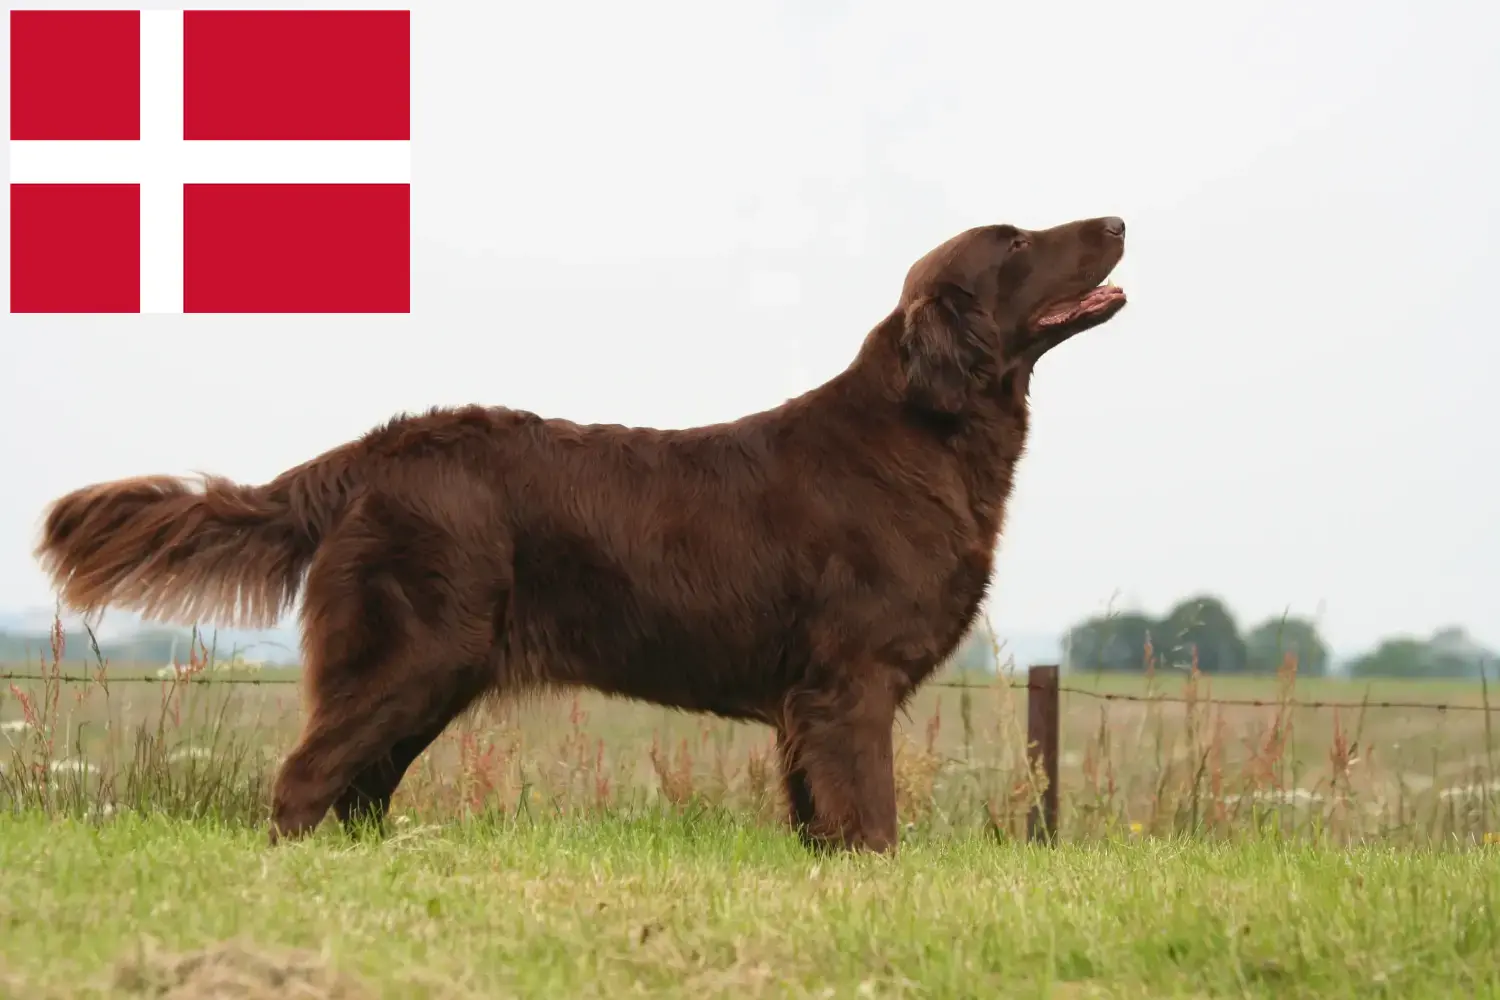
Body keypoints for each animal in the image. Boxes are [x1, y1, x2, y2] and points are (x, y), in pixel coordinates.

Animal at [32, 215, 1128, 851]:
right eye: (1017, 243)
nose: (1117, 217)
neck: (925, 432)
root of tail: (378, 451)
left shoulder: (805, 702)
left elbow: (820, 821)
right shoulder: (849, 684)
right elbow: (871, 818)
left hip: (432, 672)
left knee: (357, 788)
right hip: (412, 655)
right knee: (305, 783)